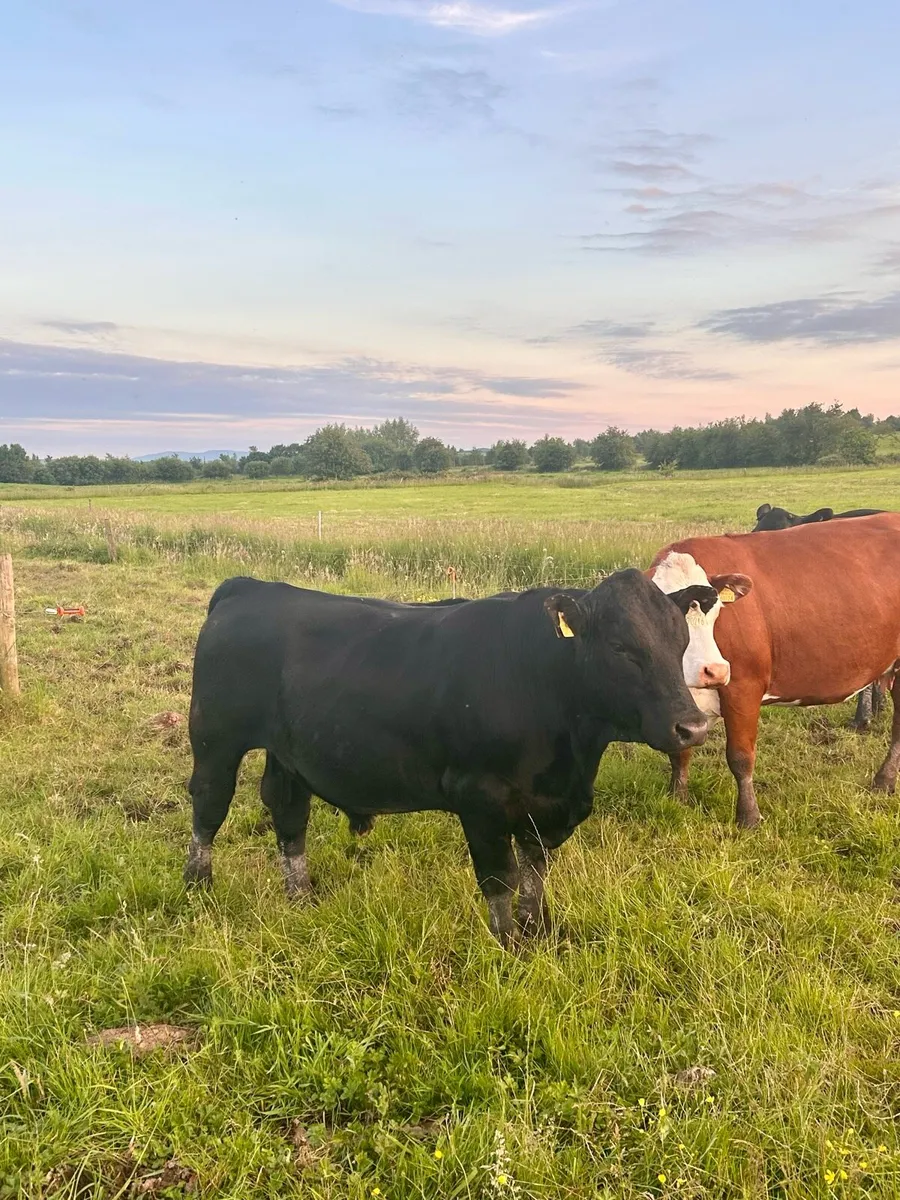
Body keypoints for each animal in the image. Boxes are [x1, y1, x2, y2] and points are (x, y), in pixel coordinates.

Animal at [184, 571, 716, 944]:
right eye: (621, 647)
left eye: (681, 642)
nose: (692, 727)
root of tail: (248, 587)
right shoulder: (479, 798)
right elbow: (500, 878)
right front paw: (508, 945)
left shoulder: (547, 806)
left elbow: (535, 873)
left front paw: (538, 931)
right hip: (215, 739)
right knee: (209, 806)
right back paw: (197, 886)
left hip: (287, 750)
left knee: (289, 812)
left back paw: (301, 896)